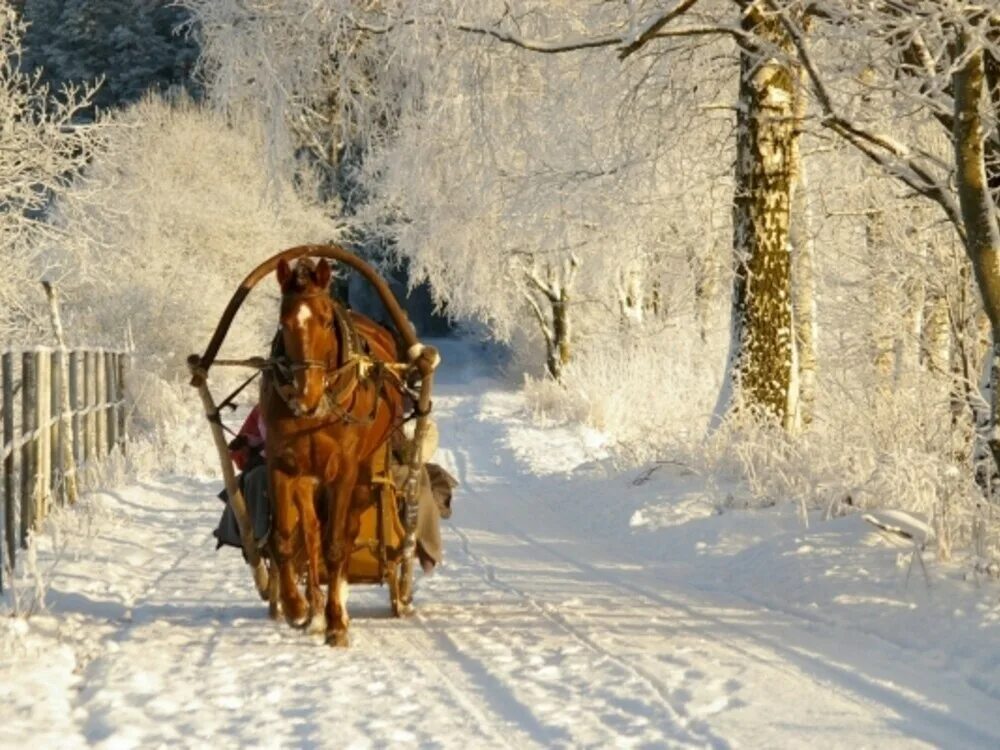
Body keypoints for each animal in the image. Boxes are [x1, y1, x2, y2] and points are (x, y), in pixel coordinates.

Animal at [260, 258, 404, 648]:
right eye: (283, 321)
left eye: (325, 320)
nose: (305, 395)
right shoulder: (283, 466)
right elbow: (284, 539)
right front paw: (296, 606)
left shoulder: (343, 471)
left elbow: (337, 544)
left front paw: (336, 622)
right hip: (309, 479)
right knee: (311, 532)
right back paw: (314, 606)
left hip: (364, 474)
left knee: (346, 531)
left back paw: (337, 607)